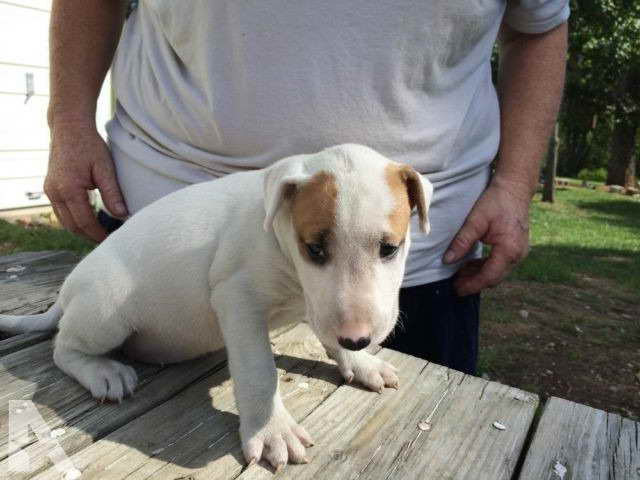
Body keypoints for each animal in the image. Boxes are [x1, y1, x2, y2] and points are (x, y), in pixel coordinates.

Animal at [0, 143, 432, 468]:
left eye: (390, 249)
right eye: (314, 249)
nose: (358, 339)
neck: (277, 236)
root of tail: (68, 291)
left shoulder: (317, 303)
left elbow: (328, 334)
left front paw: (360, 362)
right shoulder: (237, 300)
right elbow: (259, 372)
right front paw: (272, 430)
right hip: (106, 307)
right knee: (63, 349)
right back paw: (103, 372)